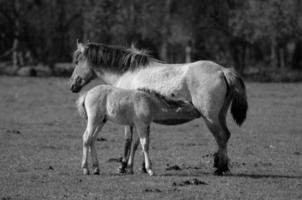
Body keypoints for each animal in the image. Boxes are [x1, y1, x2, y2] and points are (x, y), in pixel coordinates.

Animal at [71, 41, 248, 174]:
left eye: (77, 61)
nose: (72, 85)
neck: (128, 73)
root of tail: (223, 70)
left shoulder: (130, 121)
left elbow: (129, 141)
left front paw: (123, 166)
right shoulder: (141, 120)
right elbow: (139, 142)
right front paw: (141, 167)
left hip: (210, 118)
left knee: (221, 137)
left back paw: (221, 168)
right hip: (220, 116)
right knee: (225, 136)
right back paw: (221, 165)